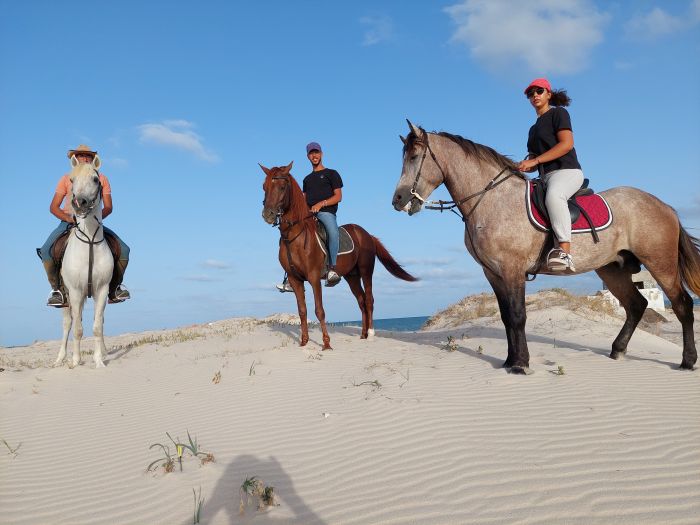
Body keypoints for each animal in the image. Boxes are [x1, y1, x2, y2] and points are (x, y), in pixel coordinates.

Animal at [56, 156, 113, 366]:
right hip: (67, 298)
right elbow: (78, 329)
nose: (78, 202)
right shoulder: (75, 291)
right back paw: (61, 359)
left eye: (96, 180)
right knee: (68, 324)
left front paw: (99, 361)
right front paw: (75, 361)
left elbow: (97, 326)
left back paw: (103, 352)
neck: (88, 240)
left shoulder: (102, 290)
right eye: (71, 180)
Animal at [262, 160, 416, 348]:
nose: (267, 214)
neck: (295, 236)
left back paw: (371, 334)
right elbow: (302, 311)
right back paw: (363, 334)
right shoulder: (295, 279)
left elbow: (319, 310)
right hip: (352, 276)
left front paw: (326, 343)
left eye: (283, 187)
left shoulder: (314, 277)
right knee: (361, 301)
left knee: (369, 300)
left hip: (366, 271)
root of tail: (367, 235)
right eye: (264, 186)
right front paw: (304, 342)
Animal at [392, 119, 696, 372]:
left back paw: (687, 361)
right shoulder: (493, 273)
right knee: (636, 305)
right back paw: (617, 350)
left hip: (660, 262)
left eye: (415, 157)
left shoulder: (512, 270)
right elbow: (506, 317)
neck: (491, 199)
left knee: (682, 304)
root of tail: (665, 206)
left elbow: (517, 316)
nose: (398, 200)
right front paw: (509, 361)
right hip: (612, 269)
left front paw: (521, 365)